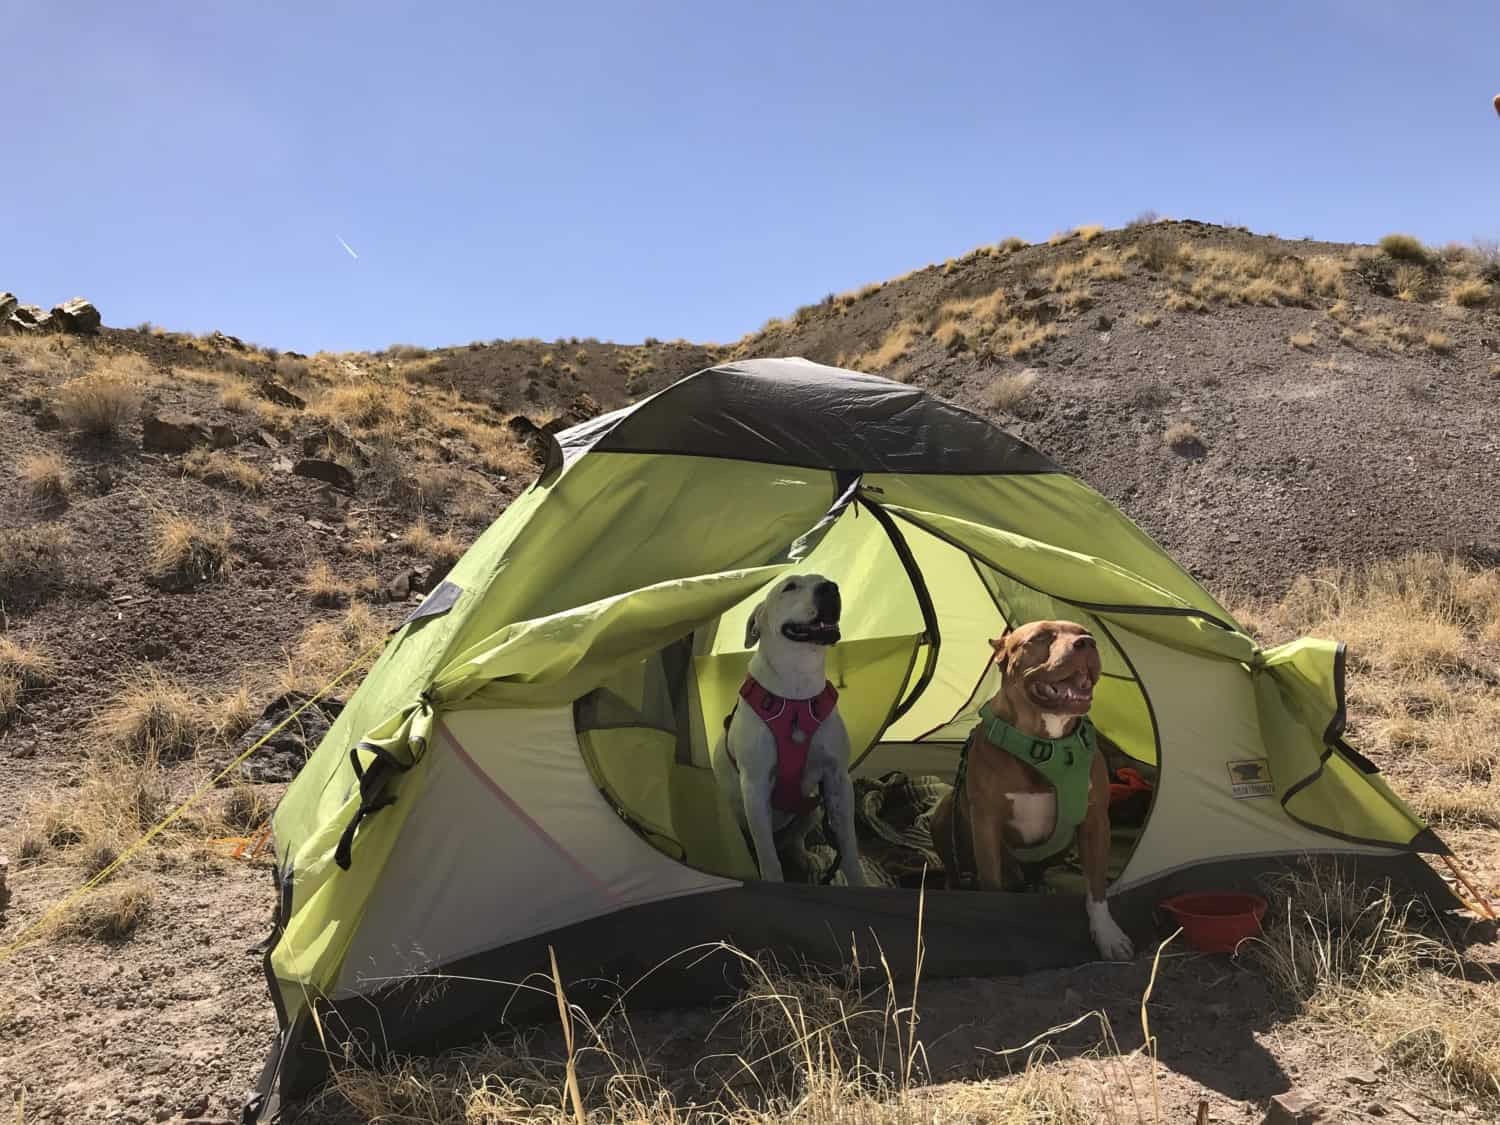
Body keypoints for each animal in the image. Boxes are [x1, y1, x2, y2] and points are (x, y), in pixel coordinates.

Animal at [714, 576, 870, 888]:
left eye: (825, 581)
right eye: (789, 587)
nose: (831, 587)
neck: (798, 681)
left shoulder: (838, 779)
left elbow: (848, 847)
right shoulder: (755, 786)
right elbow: (769, 859)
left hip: (813, 809)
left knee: (793, 841)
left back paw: (805, 857)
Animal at [930, 621, 1128, 966]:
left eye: (1086, 631)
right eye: (1040, 637)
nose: (1086, 643)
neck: (1044, 744)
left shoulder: (1095, 821)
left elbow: (1096, 888)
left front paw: (1108, 935)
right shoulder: (985, 823)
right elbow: (991, 880)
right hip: (944, 815)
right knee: (958, 868)